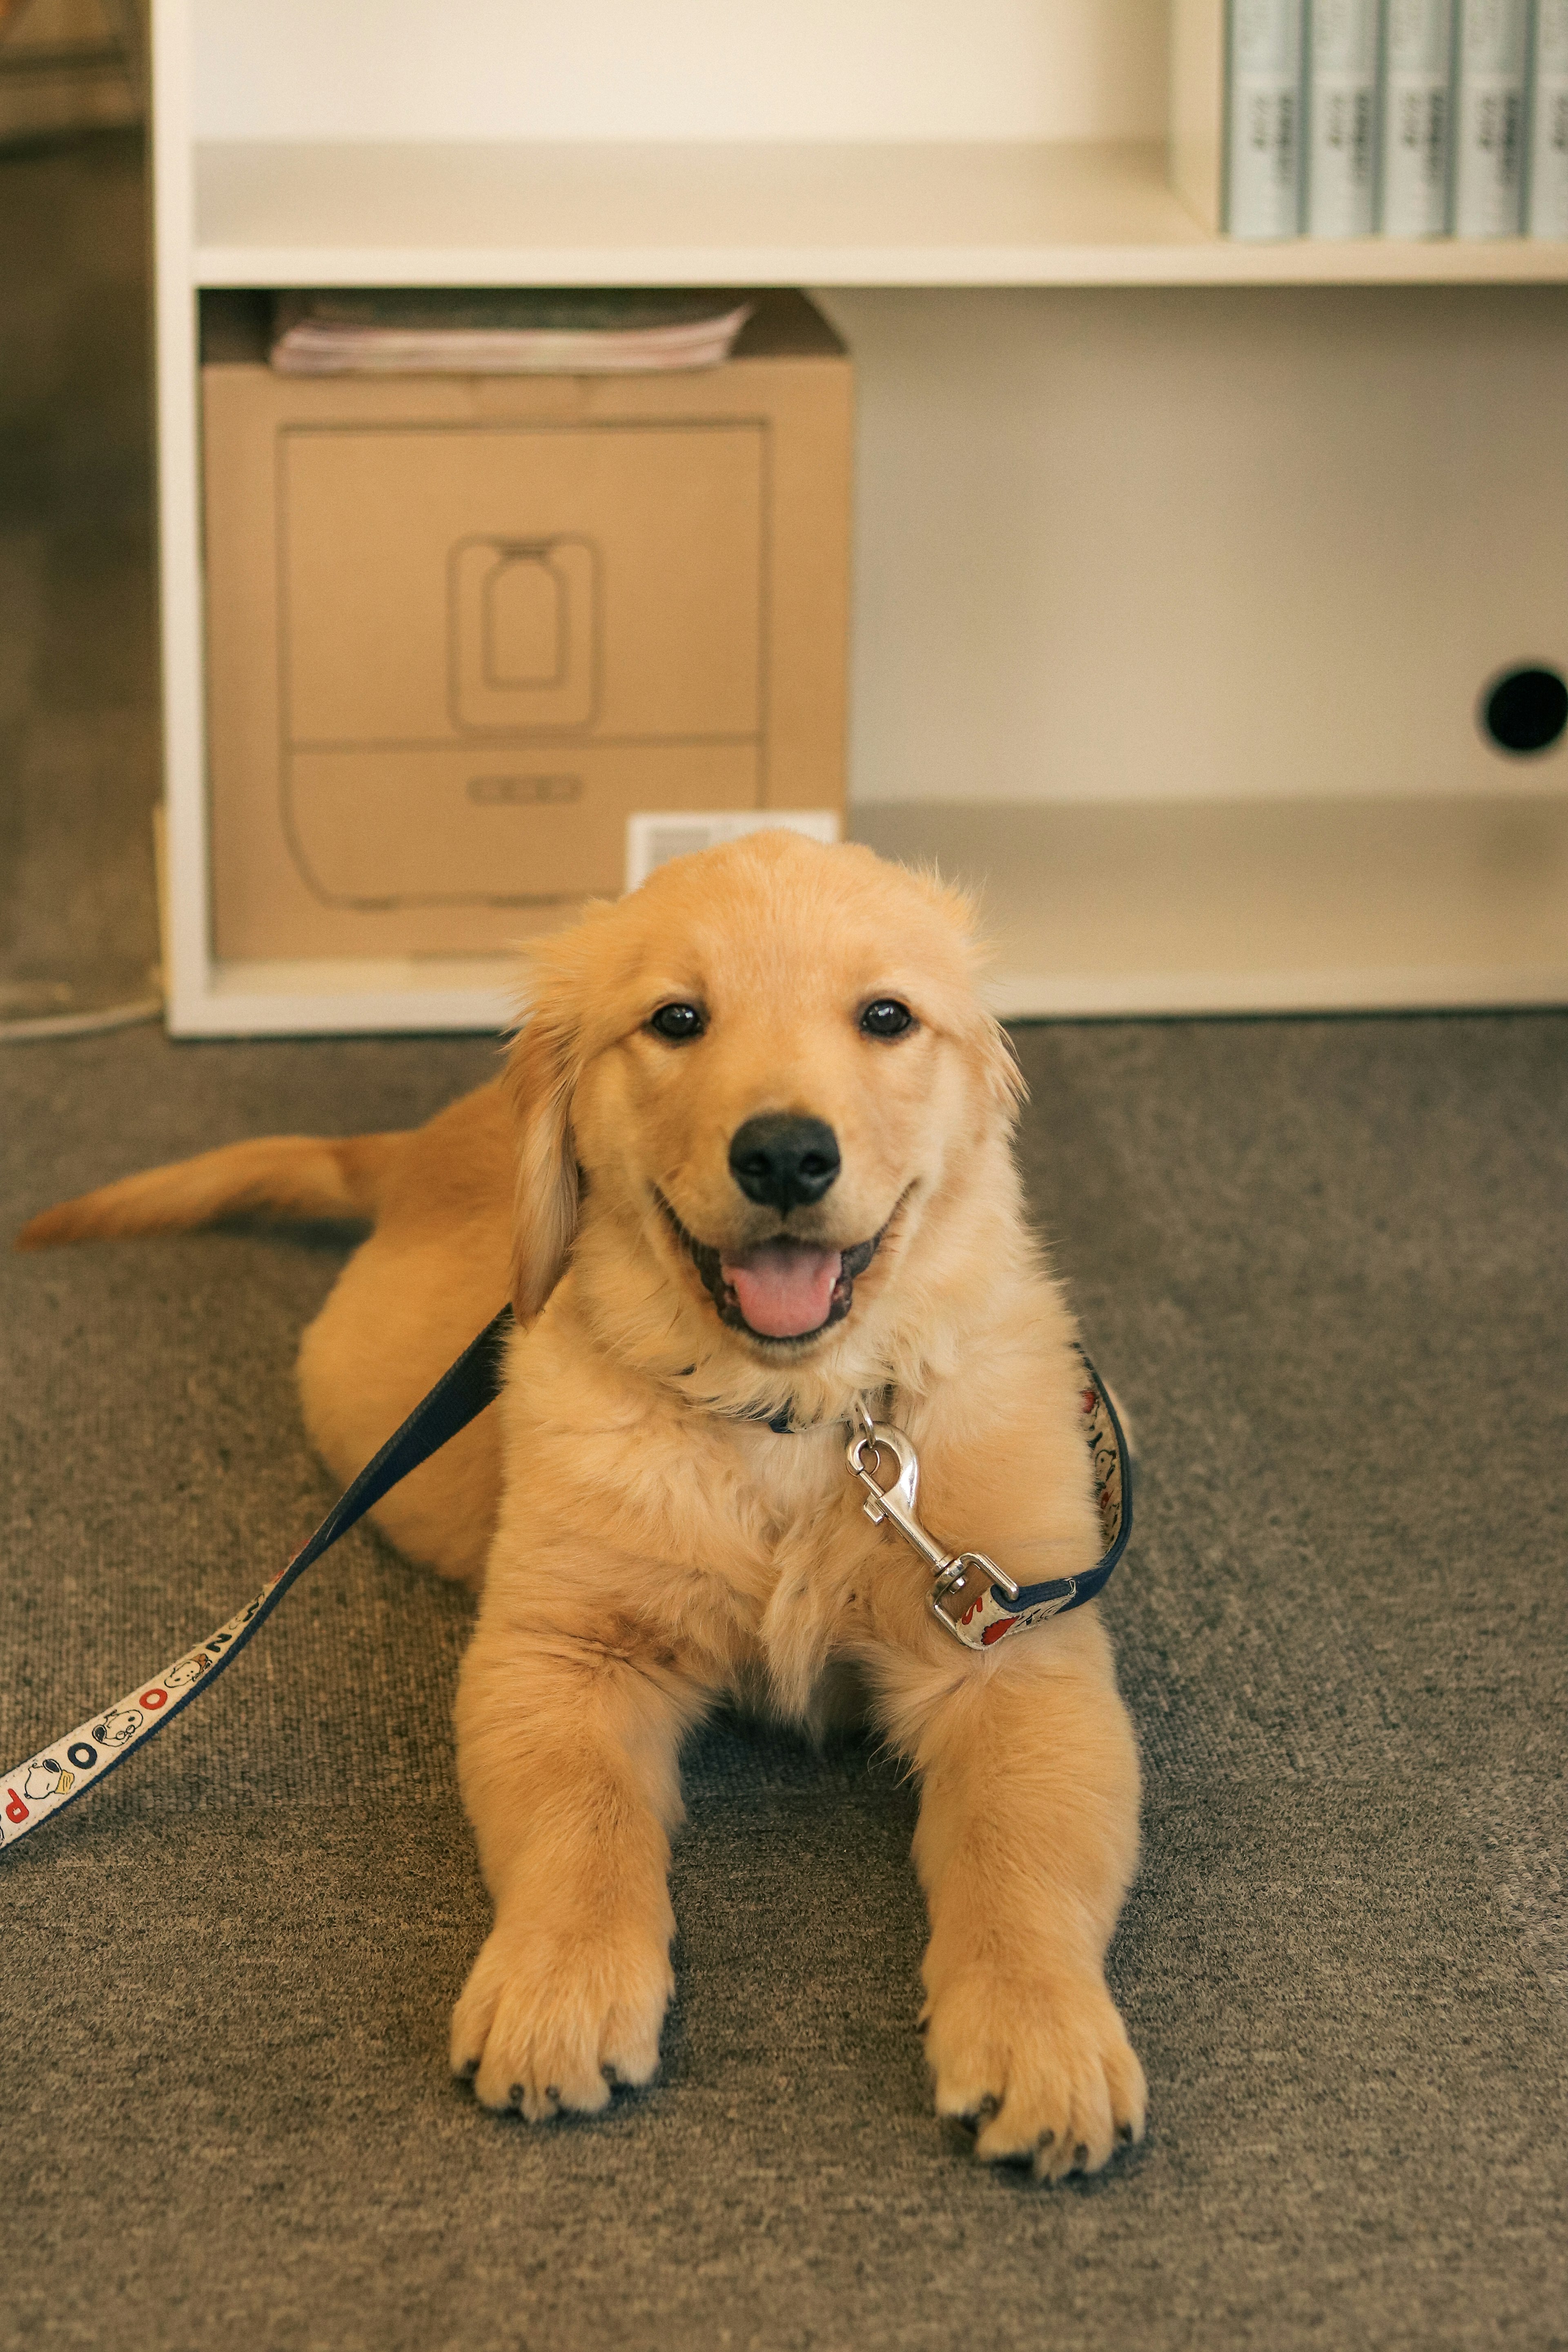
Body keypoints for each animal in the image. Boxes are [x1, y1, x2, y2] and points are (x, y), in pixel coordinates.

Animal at [21, 833, 1142, 2183]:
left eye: (886, 1017)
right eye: (677, 1019)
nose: (784, 1154)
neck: (791, 1418)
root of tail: (417, 1146)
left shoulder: (1016, 1650)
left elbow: (1022, 1854)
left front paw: (1041, 2033)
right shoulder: (560, 1647)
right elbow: (581, 1824)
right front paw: (557, 1992)